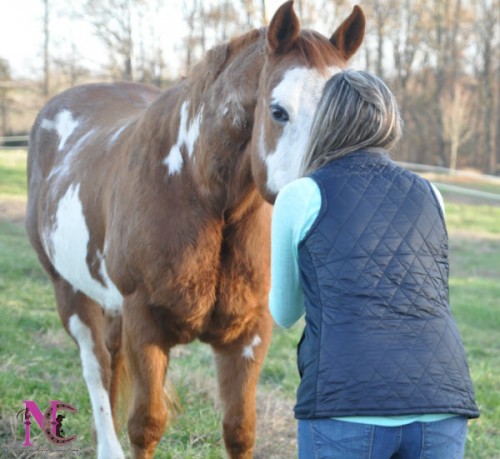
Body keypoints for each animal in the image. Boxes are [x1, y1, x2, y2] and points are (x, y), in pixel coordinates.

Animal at [25, 1, 366, 458]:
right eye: (278, 111)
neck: (198, 192)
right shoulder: (144, 324)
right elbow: (146, 426)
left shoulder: (249, 332)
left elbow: (240, 429)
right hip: (71, 294)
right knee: (95, 367)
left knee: (110, 362)